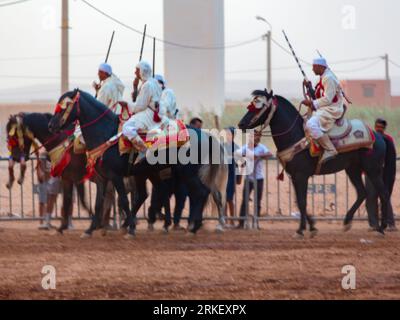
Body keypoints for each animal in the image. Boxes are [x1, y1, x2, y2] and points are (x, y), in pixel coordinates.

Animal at [48, 89, 227, 239]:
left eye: (65, 106)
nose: (51, 125)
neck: (105, 134)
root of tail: (206, 135)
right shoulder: (102, 178)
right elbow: (99, 203)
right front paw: (90, 230)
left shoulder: (116, 176)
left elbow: (123, 200)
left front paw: (131, 229)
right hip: (161, 174)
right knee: (196, 193)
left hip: (186, 173)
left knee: (201, 193)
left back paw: (193, 227)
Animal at [239, 90, 392, 238]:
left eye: (259, 106)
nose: (241, 124)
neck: (296, 136)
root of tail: (378, 136)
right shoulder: (294, 177)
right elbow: (299, 202)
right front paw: (311, 227)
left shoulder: (301, 176)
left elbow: (302, 202)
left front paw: (301, 230)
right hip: (352, 169)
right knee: (362, 193)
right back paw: (347, 222)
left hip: (373, 170)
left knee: (383, 193)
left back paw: (381, 228)